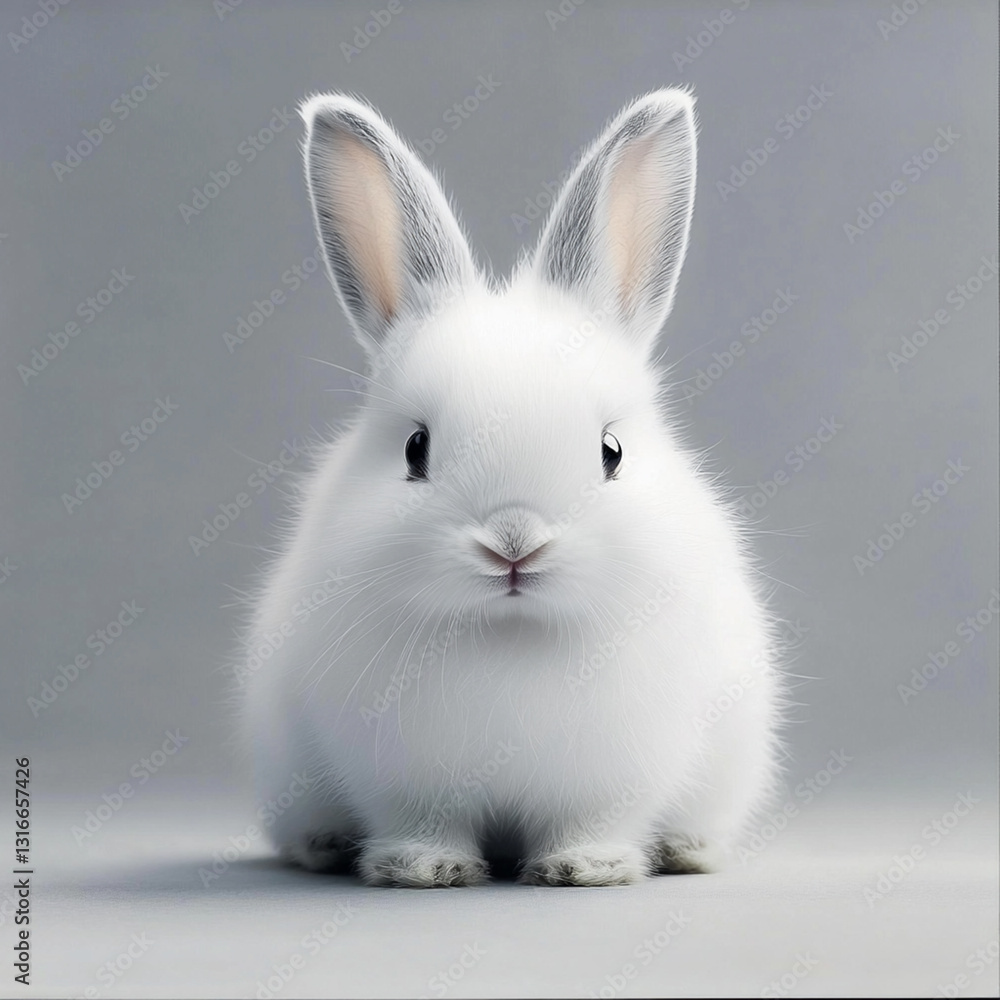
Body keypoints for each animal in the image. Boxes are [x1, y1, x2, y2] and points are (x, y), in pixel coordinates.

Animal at [241, 88, 783, 887]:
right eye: (416, 448)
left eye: (611, 452)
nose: (513, 543)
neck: (511, 634)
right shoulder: (400, 782)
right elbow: (422, 822)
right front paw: (425, 869)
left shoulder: (613, 778)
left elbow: (592, 821)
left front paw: (585, 868)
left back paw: (688, 852)